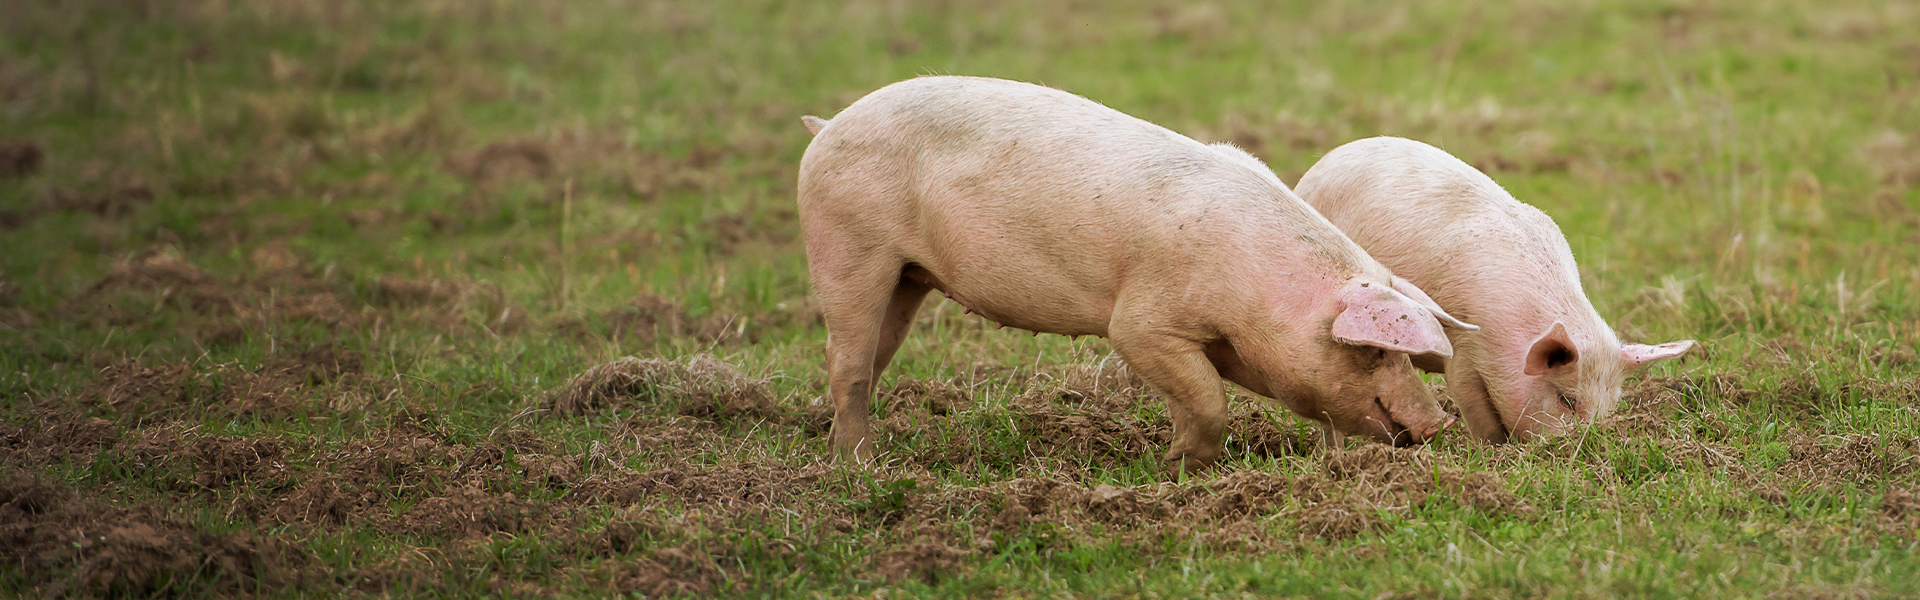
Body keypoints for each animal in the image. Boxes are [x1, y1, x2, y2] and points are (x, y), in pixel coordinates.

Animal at [791, 75, 1466, 469]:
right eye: (1372, 352)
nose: (1437, 423)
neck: (1259, 297)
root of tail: (828, 125)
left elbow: (1194, 398)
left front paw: (1180, 465)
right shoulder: (1143, 322)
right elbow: (1205, 398)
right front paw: (1174, 469)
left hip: (906, 275)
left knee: (873, 356)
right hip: (847, 242)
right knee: (844, 357)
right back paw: (857, 466)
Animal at [1290, 138, 1697, 442]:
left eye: (1609, 406)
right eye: (1567, 400)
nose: (1585, 447)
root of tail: (1323, 161)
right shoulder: (1464, 346)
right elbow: (1478, 413)